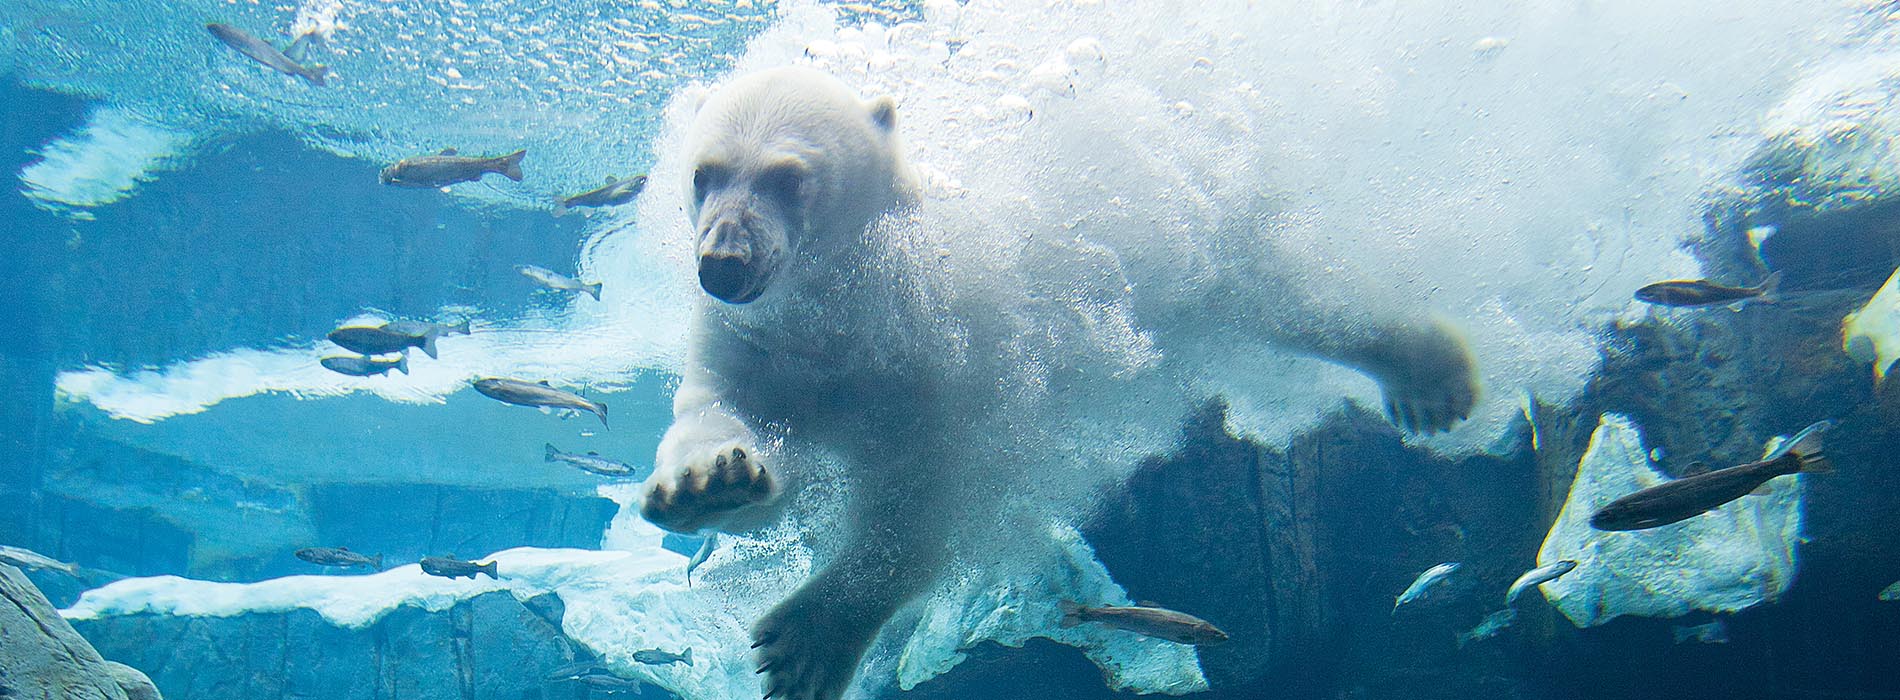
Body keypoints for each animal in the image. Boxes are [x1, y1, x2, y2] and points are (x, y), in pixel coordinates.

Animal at [642, 67, 1482, 700]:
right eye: (704, 174)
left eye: (789, 177)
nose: (722, 264)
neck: (845, 313)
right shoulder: (754, 341)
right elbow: (722, 417)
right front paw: (706, 484)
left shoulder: (943, 357)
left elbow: (921, 501)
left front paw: (806, 643)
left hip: (1200, 259)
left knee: (1297, 303)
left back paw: (1432, 378)